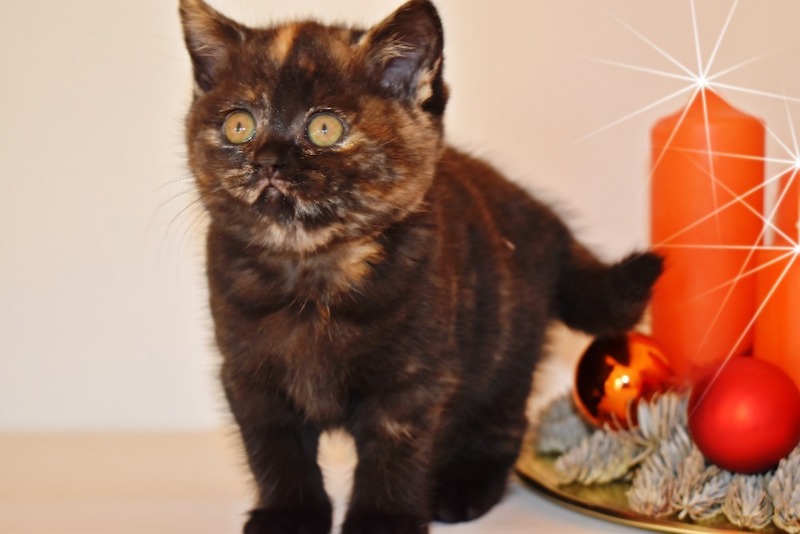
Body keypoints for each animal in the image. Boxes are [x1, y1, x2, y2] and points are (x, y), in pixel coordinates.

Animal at [178, 0, 663, 533]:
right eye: (238, 126)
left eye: (324, 128)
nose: (267, 160)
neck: (313, 273)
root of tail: (548, 221)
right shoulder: (250, 378)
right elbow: (276, 451)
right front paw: (289, 516)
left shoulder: (413, 379)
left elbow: (395, 454)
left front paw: (381, 521)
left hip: (506, 348)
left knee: (504, 421)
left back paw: (463, 489)